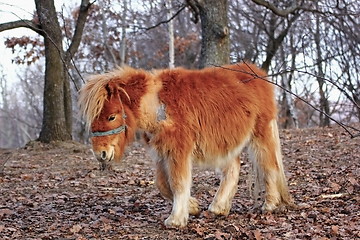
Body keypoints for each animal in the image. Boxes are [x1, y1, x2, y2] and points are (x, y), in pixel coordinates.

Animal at [79, 62, 292, 227]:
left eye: (111, 116)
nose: (100, 153)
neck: (157, 104)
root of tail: (259, 74)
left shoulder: (178, 150)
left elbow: (178, 182)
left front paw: (176, 220)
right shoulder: (161, 152)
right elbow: (163, 185)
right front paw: (193, 207)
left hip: (260, 134)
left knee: (268, 164)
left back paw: (270, 205)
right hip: (228, 140)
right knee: (233, 169)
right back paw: (218, 208)